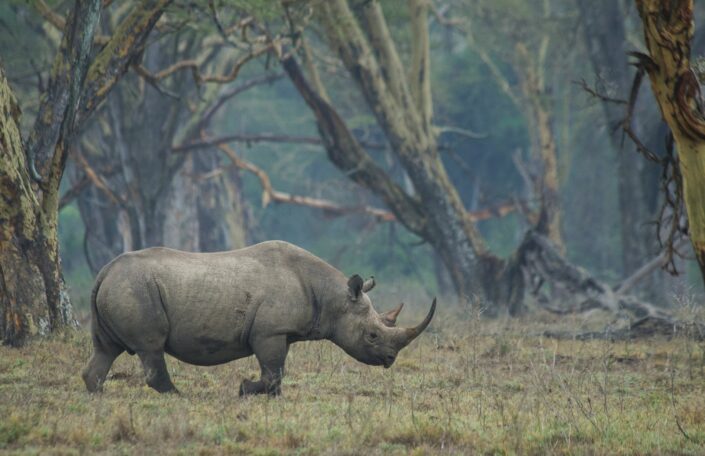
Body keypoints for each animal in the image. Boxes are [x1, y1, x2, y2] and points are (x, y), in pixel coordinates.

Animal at [82, 240, 436, 395]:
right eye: (372, 336)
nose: (390, 360)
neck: (333, 296)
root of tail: (105, 271)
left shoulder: (282, 332)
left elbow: (277, 371)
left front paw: (272, 397)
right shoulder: (269, 332)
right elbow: (272, 372)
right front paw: (244, 389)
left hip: (121, 288)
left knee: (105, 349)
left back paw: (97, 394)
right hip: (136, 288)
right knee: (150, 347)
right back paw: (178, 396)